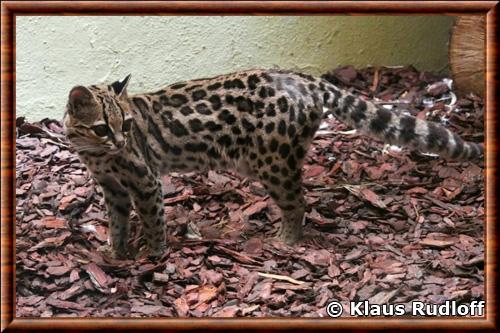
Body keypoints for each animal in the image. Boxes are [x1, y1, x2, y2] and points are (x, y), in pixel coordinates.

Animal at [61, 68, 480, 258]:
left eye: (127, 125)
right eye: (103, 128)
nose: (120, 141)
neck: (97, 154)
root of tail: (306, 79)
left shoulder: (145, 180)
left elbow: (152, 219)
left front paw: (153, 253)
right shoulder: (112, 188)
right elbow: (117, 222)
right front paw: (115, 254)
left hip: (272, 161)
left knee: (298, 202)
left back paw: (285, 241)